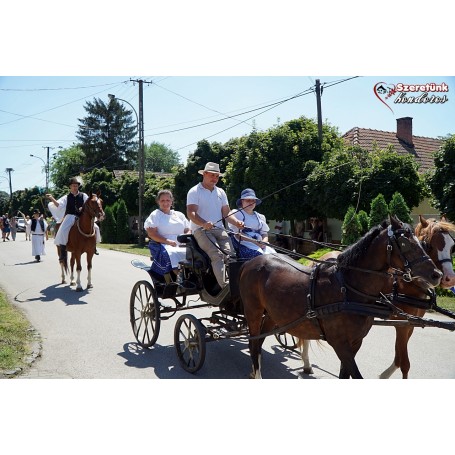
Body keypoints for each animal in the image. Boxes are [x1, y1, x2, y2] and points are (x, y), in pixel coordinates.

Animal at [239, 216, 442, 380]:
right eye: (406, 244)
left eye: (423, 244)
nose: (437, 275)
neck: (348, 290)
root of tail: (251, 263)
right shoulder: (340, 344)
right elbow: (356, 375)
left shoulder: (355, 343)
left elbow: (345, 375)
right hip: (253, 312)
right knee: (253, 343)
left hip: (273, 316)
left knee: (258, 342)